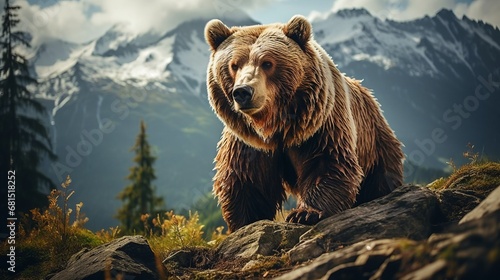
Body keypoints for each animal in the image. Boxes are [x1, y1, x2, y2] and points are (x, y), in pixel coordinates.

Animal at [205, 14, 404, 232]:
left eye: (267, 63)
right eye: (234, 65)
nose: (243, 92)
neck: (275, 125)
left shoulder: (320, 125)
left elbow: (327, 163)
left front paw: (304, 213)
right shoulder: (248, 142)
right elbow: (247, 180)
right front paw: (245, 222)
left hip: (373, 138)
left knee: (381, 176)